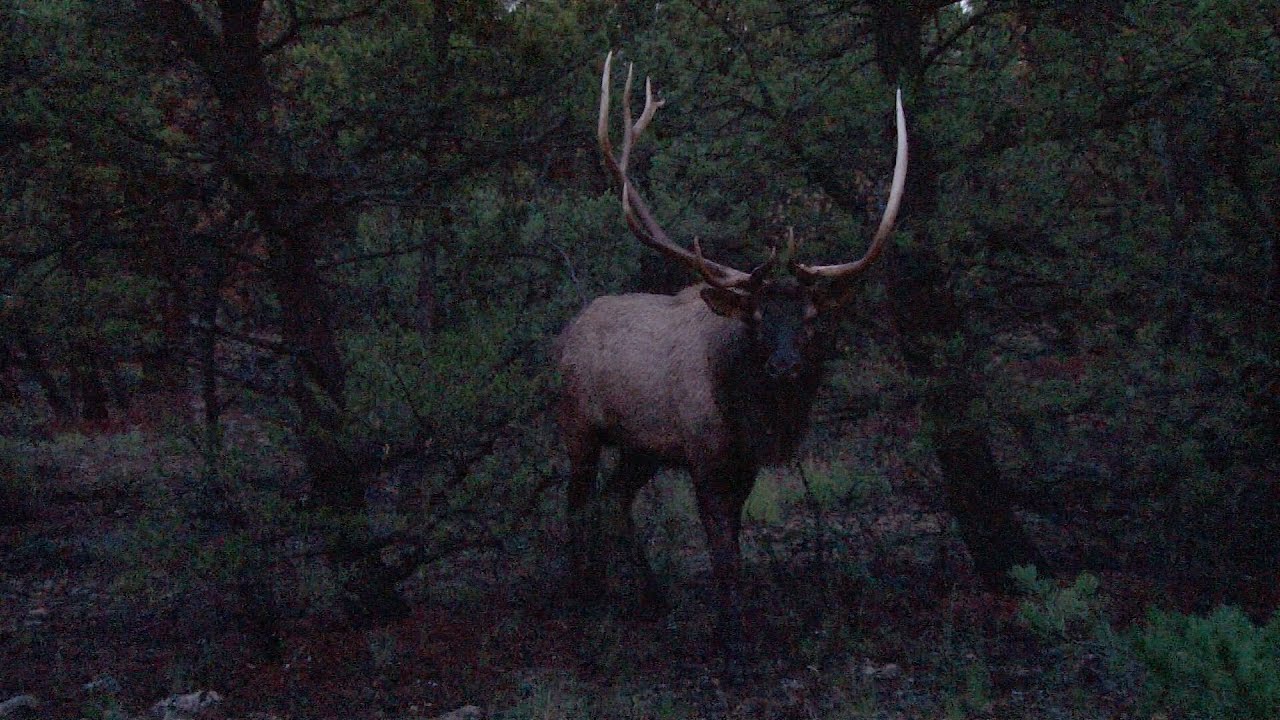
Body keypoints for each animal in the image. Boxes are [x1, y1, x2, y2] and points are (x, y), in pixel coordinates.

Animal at [557, 52, 907, 640]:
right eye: (758, 319)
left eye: (812, 318)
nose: (786, 367)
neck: (751, 419)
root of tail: (566, 333)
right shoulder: (704, 456)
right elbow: (722, 557)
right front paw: (730, 637)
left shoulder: (745, 465)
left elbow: (737, 555)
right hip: (579, 425)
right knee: (576, 506)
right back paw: (579, 596)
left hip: (640, 447)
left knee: (613, 502)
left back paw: (644, 596)